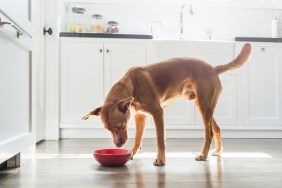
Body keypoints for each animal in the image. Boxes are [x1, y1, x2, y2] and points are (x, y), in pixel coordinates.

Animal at [82, 43, 252, 166]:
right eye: (108, 130)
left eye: (120, 126)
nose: (118, 146)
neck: (132, 85)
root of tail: (213, 68)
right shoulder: (140, 117)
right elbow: (138, 138)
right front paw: (132, 152)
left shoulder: (158, 113)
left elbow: (160, 140)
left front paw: (161, 160)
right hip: (203, 106)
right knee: (216, 129)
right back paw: (218, 150)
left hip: (204, 107)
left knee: (208, 133)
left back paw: (203, 155)